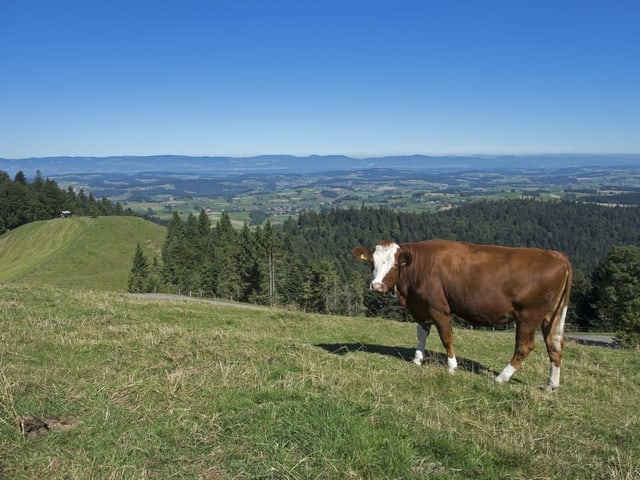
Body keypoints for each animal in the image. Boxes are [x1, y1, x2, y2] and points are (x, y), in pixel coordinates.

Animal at [352, 240, 572, 390]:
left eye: (395, 265)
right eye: (372, 263)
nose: (377, 286)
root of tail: (558, 257)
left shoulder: (438, 308)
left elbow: (446, 337)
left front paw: (451, 366)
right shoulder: (421, 307)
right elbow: (422, 334)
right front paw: (417, 359)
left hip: (529, 315)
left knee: (525, 346)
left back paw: (501, 377)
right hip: (551, 315)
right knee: (555, 344)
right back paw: (551, 385)